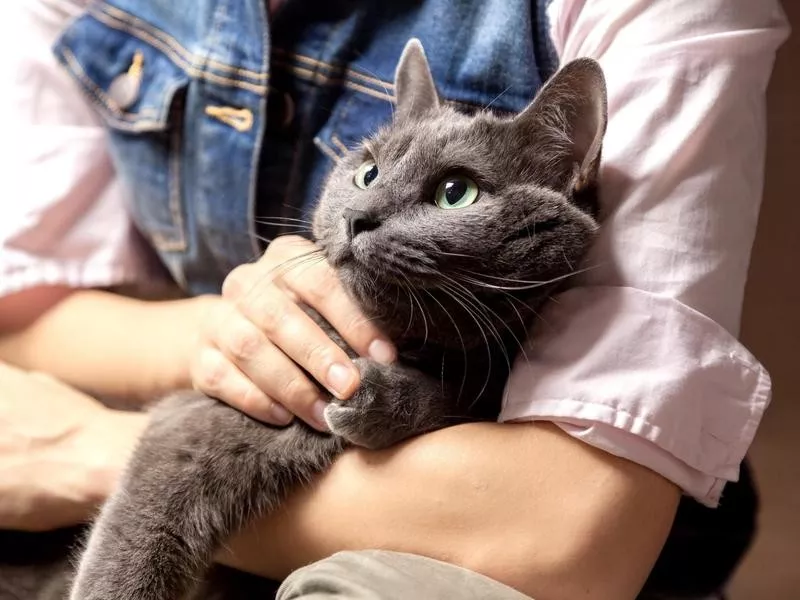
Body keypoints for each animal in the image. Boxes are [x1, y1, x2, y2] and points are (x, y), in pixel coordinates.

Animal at [65, 38, 608, 600]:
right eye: (367, 173)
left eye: (456, 192)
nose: (357, 216)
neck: (406, 341)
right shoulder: (192, 421)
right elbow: (135, 539)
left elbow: (458, 396)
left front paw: (372, 398)